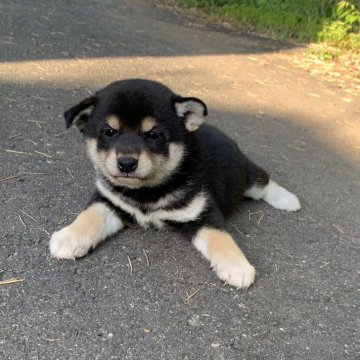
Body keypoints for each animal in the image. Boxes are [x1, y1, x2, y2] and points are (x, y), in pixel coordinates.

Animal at [49, 79, 300, 290]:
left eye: (153, 134)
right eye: (109, 132)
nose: (126, 163)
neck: (146, 193)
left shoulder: (202, 214)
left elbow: (221, 239)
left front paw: (236, 266)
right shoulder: (110, 202)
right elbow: (89, 217)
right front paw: (69, 237)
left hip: (246, 176)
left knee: (264, 181)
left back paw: (288, 200)